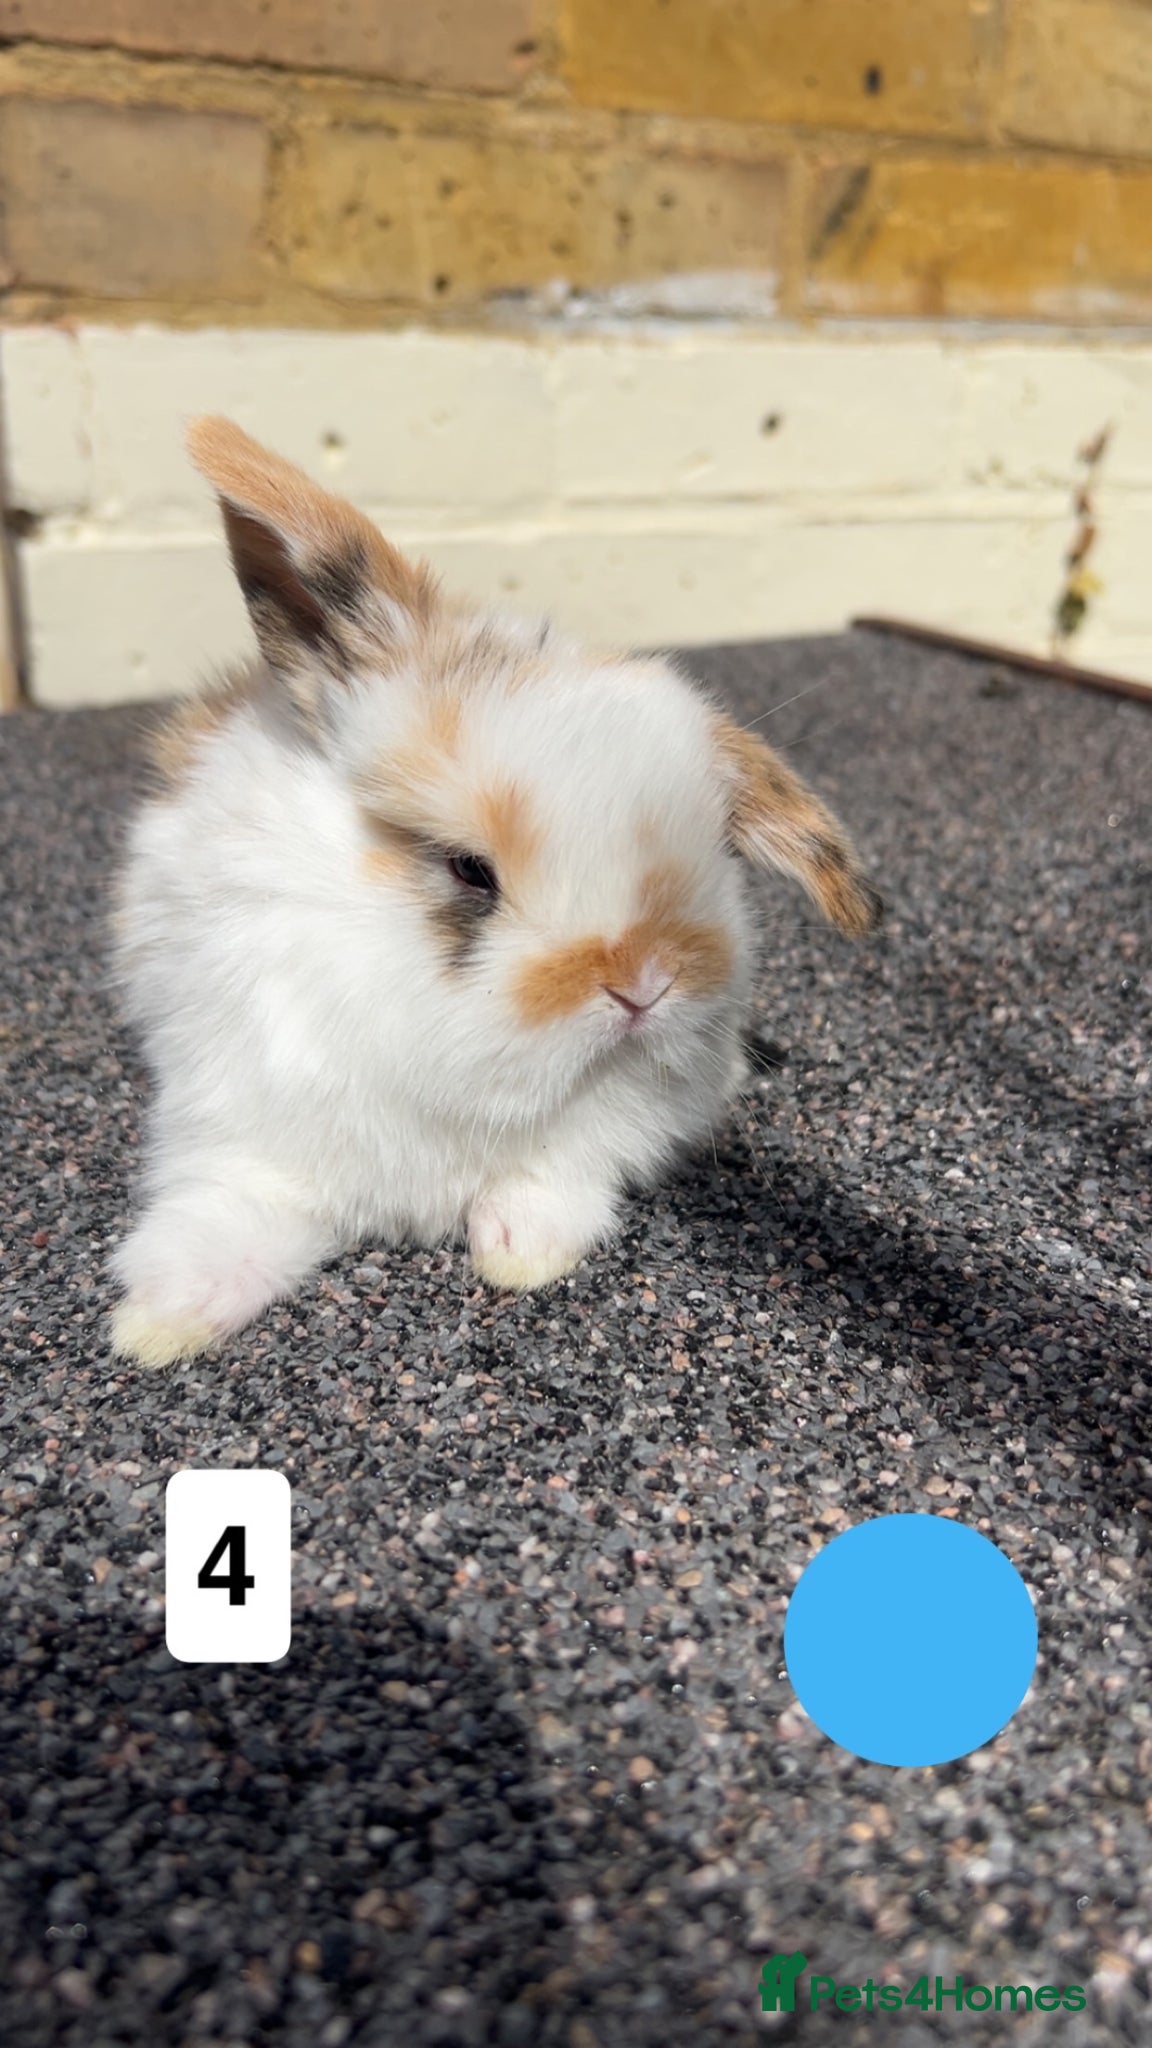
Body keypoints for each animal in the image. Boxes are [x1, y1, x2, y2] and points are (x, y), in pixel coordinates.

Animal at [105, 417, 881, 1367]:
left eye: (712, 851)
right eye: (469, 869)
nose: (643, 986)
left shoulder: (628, 1123)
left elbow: (557, 1175)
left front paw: (521, 1252)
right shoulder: (241, 1111)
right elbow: (229, 1209)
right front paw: (157, 1324)